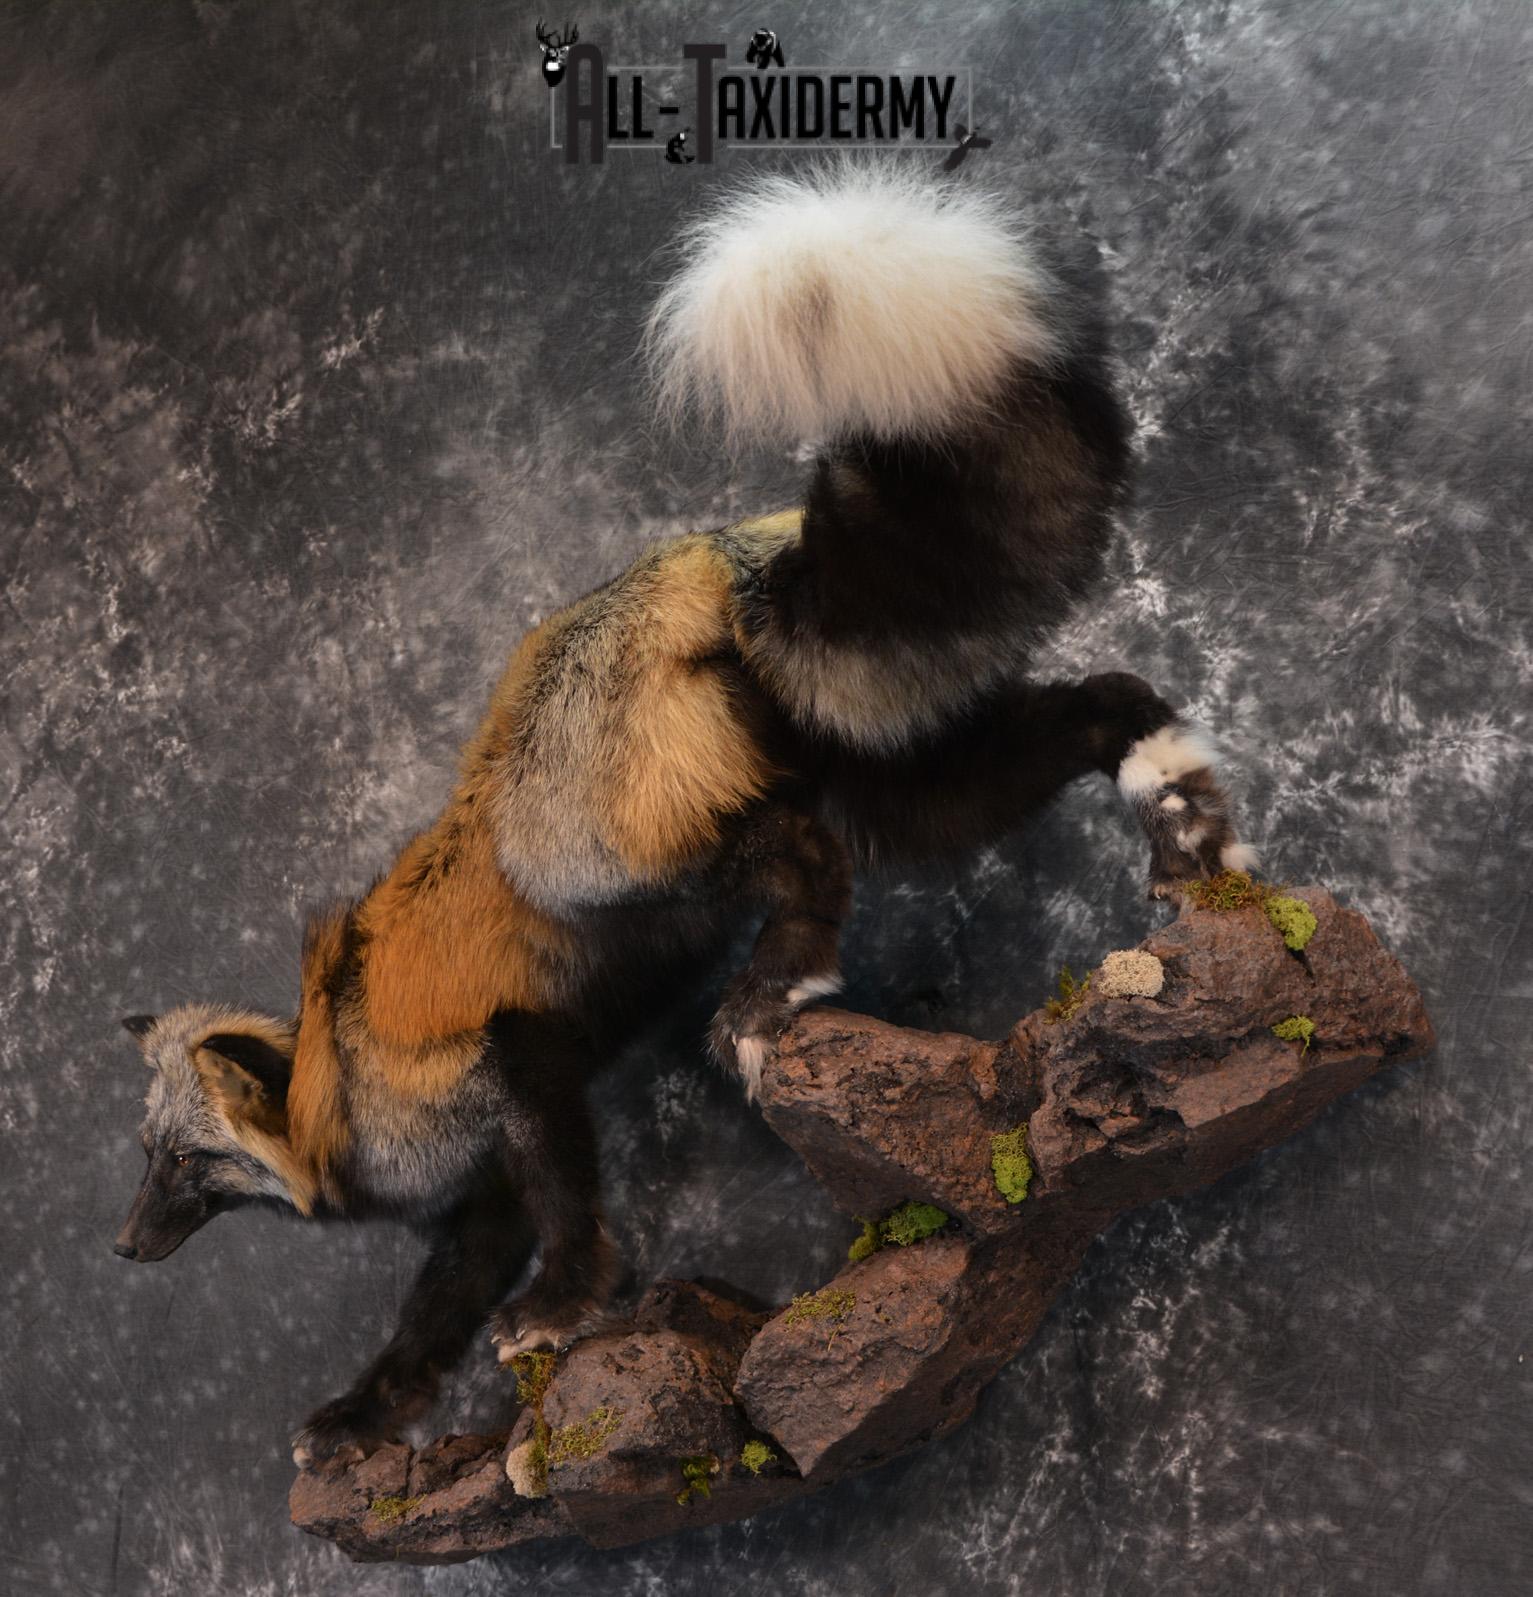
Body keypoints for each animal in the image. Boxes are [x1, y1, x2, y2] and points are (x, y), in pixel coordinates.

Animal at [115, 166, 1254, 1466]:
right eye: (145, 1157)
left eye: (179, 1159)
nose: (121, 1246)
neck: (331, 1081)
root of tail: (708, 559)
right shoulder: (483, 1198)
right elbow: (427, 1320)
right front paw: (363, 1416)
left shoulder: (523, 1069)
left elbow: (566, 1217)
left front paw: (562, 1309)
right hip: (901, 791)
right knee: (1106, 701)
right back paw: (1191, 832)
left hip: (622, 861)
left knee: (801, 858)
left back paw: (773, 994)